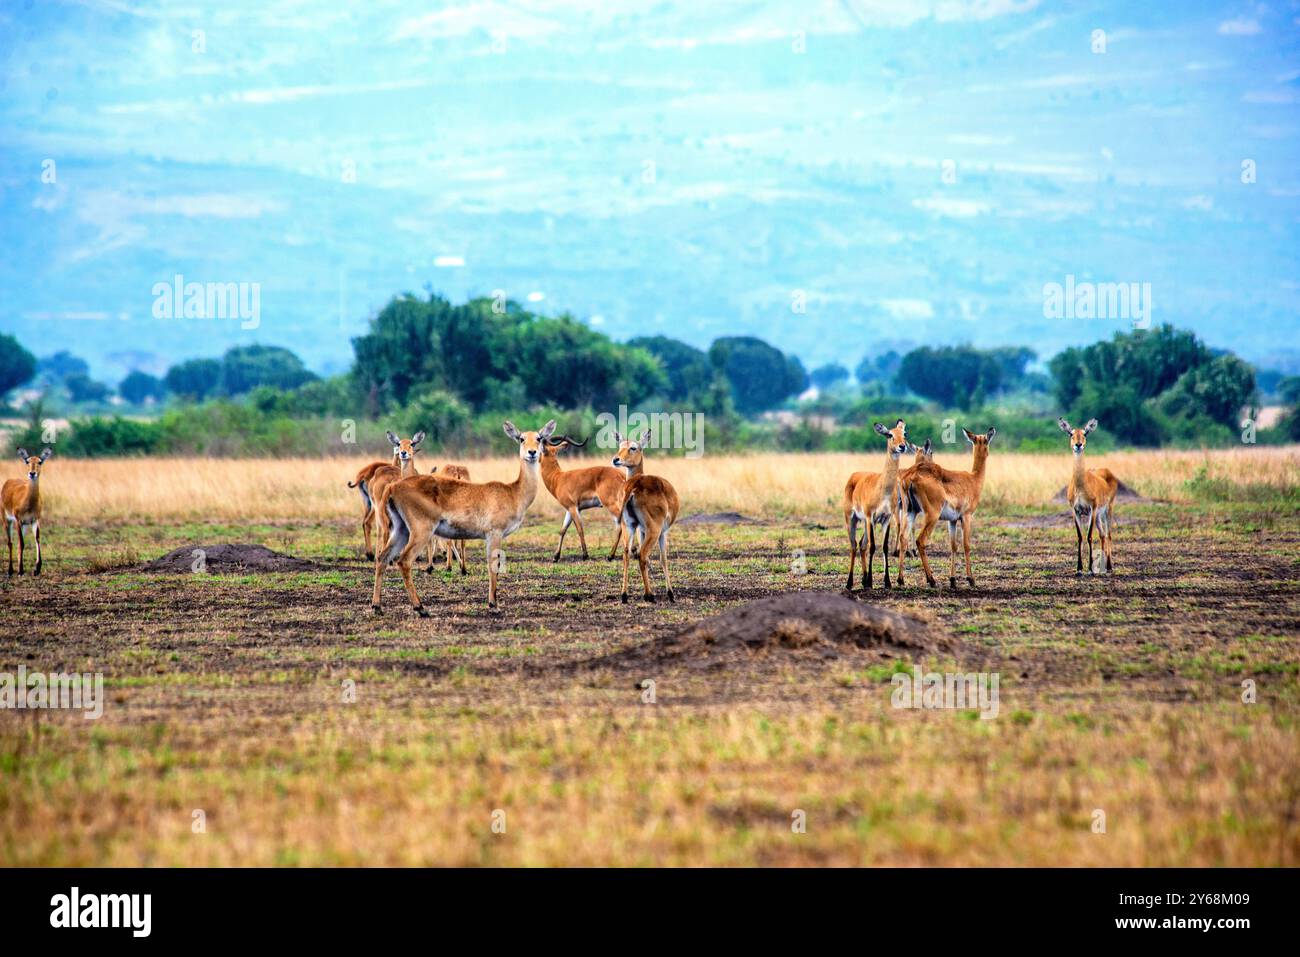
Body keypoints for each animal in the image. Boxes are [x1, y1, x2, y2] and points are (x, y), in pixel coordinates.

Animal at [371, 418, 553, 613]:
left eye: (539, 438)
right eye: (521, 438)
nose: (532, 452)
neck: (513, 492)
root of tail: (393, 487)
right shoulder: (494, 533)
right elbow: (493, 565)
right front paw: (493, 604)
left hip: (401, 529)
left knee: (382, 558)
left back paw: (377, 606)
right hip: (421, 530)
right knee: (403, 561)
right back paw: (420, 608)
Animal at [613, 431, 686, 600]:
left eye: (632, 447)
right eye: (620, 446)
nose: (616, 459)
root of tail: (634, 485)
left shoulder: (640, 529)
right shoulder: (663, 532)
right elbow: (663, 558)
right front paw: (670, 593)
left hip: (628, 526)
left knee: (626, 554)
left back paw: (624, 595)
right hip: (654, 530)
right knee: (642, 555)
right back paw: (649, 595)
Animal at [842, 421, 915, 590]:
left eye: (904, 433)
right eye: (890, 434)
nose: (902, 446)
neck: (883, 489)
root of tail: (853, 476)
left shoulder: (886, 518)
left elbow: (884, 547)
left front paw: (887, 582)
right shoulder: (871, 516)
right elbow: (873, 546)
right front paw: (870, 582)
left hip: (867, 523)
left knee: (862, 545)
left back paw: (863, 580)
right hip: (852, 519)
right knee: (854, 545)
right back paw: (850, 583)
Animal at [899, 429, 998, 590]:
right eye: (987, 440)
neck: (973, 479)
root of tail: (910, 476)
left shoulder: (951, 521)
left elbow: (953, 546)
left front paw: (952, 580)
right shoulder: (966, 517)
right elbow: (966, 545)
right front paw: (971, 579)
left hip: (910, 512)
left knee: (903, 538)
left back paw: (900, 580)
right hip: (931, 516)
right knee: (920, 540)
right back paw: (931, 580)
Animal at [1055, 413, 1118, 574]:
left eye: (1085, 433)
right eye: (1071, 433)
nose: (1078, 444)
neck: (1080, 487)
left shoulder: (1091, 509)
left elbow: (1089, 536)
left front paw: (1089, 568)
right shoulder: (1075, 511)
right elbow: (1080, 536)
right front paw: (1079, 568)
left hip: (1107, 509)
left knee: (1108, 534)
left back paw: (1109, 567)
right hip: (1099, 515)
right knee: (1102, 535)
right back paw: (1102, 567)